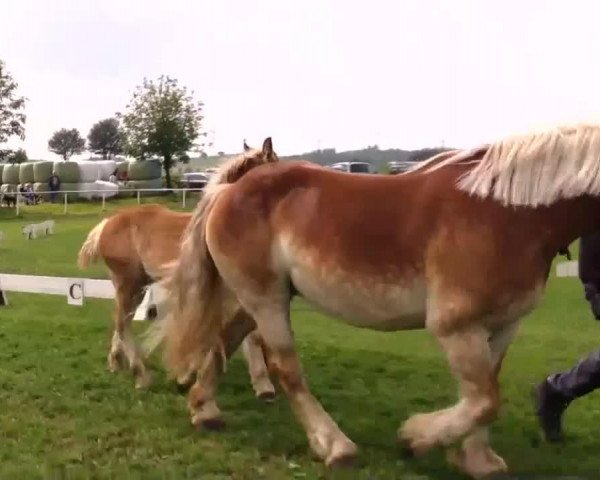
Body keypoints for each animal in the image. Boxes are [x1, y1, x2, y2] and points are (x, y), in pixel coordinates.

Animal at [77, 141, 276, 400]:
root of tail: (107, 223)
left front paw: (262, 385)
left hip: (136, 284)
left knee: (122, 320)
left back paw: (115, 362)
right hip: (129, 282)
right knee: (122, 322)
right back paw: (141, 376)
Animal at [154, 125, 596, 478]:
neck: (508, 212)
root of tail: (228, 191)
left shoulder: (503, 325)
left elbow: (485, 392)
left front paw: (477, 460)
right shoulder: (457, 327)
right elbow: (485, 400)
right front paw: (415, 438)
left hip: (258, 299)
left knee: (222, 342)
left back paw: (204, 409)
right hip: (266, 301)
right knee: (286, 369)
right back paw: (335, 446)